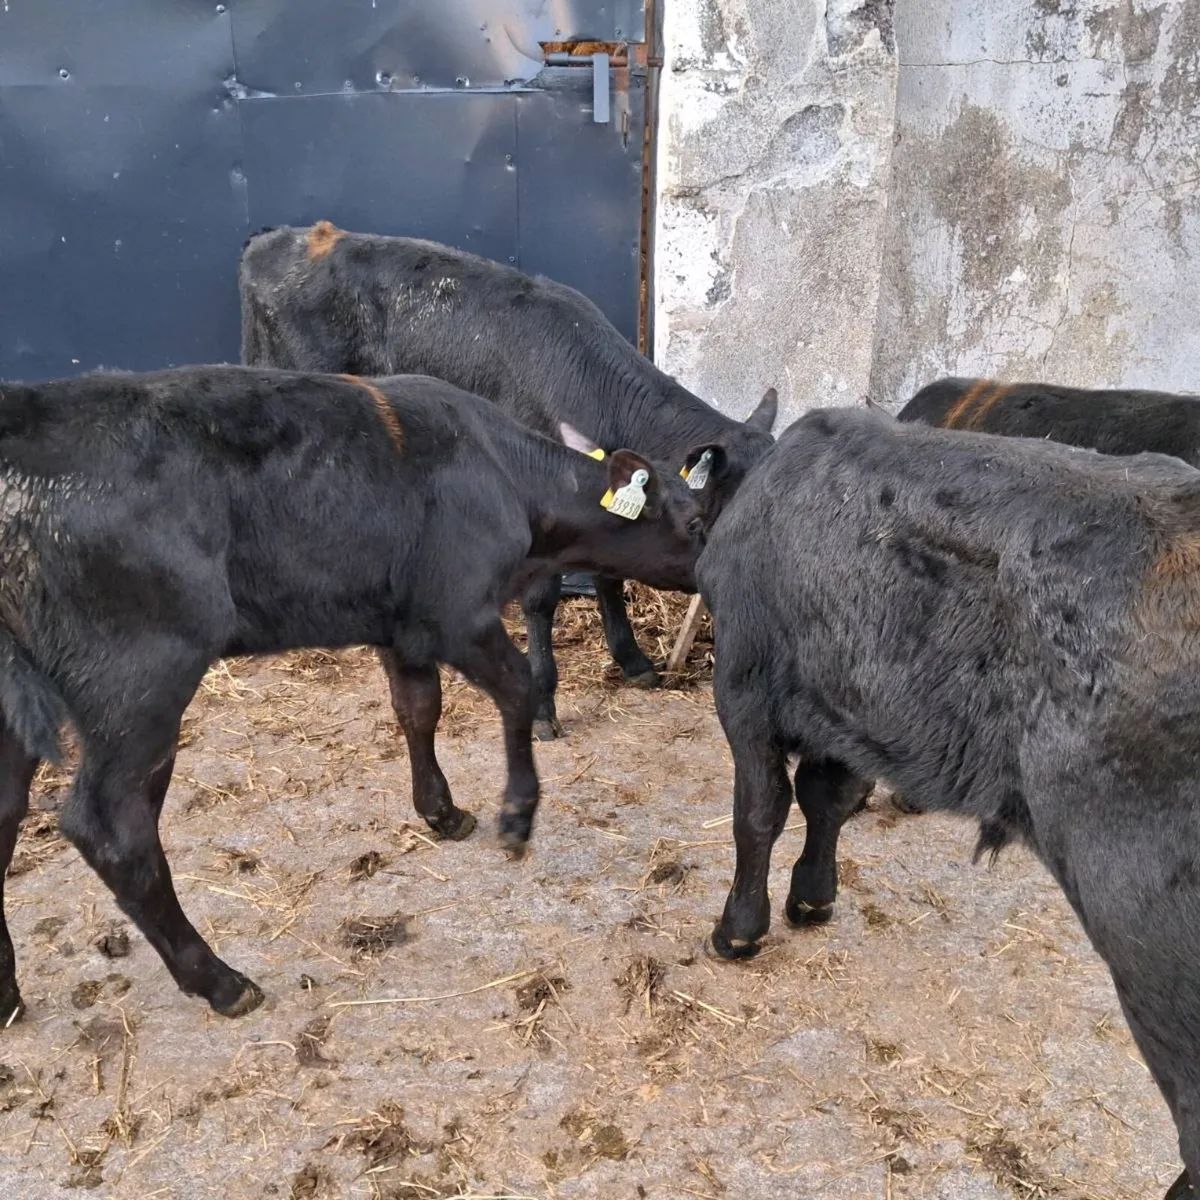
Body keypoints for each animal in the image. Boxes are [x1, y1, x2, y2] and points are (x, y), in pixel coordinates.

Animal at [0, 365, 710, 1023]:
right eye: (698, 521)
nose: (716, 573)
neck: (506, 476)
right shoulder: (459, 613)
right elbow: (517, 687)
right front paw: (516, 815)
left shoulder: (404, 622)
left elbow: (418, 710)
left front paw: (442, 812)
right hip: (139, 682)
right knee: (112, 830)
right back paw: (220, 982)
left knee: (8, 812)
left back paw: (9, 993)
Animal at [697, 405, 1200, 1198]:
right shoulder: (852, 700)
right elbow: (829, 799)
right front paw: (813, 896)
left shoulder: (745, 685)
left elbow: (761, 811)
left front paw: (740, 928)